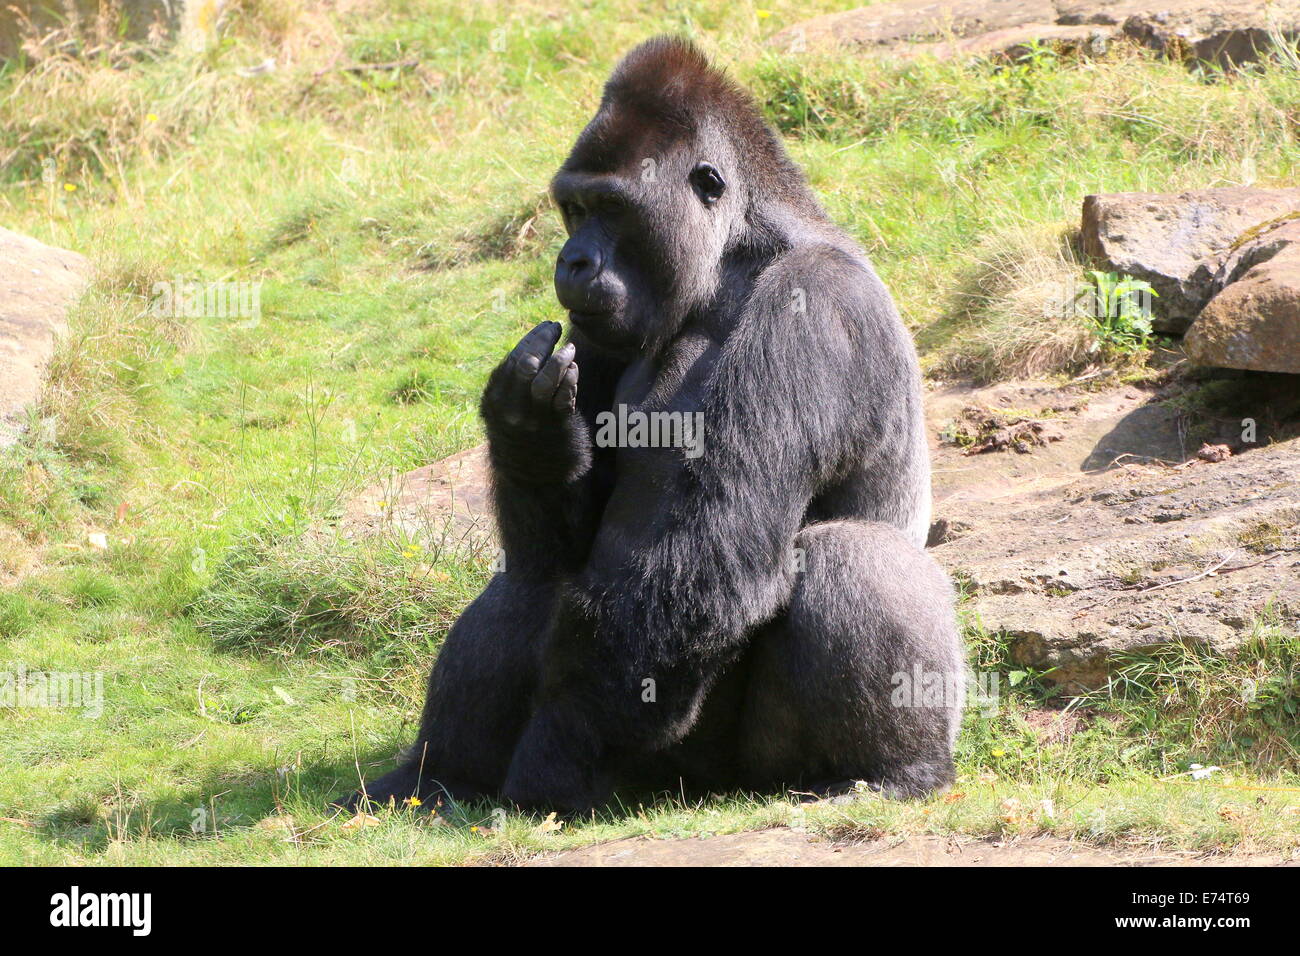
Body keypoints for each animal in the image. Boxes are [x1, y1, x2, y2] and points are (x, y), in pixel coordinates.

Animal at [345, 37, 967, 816]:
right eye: (574, 208)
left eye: (612, 208)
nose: (572, 259)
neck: (730, 258)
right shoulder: (595, 331)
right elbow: (570, 536)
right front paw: (529, 437)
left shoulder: (813, 303)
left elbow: (710, 546)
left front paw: (560, 749)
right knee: (536, 574)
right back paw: (434, 779)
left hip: (734, 768)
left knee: (848, 555)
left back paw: (890, 770)